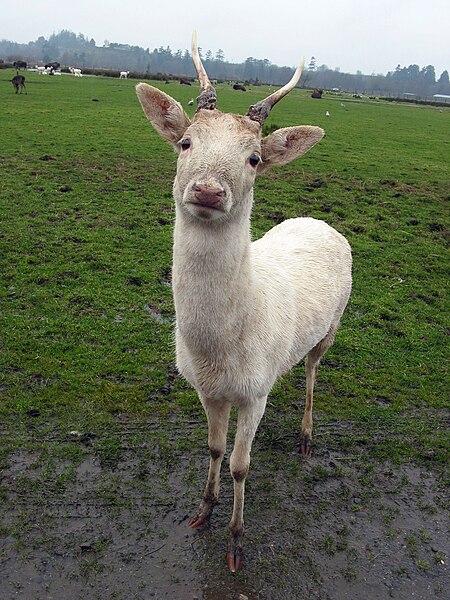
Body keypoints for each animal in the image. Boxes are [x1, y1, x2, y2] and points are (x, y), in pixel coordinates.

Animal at [135, 31, 354, 572]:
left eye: (254, 158)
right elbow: (215, 449)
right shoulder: (207, 389)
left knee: (313, 372)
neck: (221, 349)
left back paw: (305, 437)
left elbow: (240, 465)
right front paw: (202, 511)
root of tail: (319, 220)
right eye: (186, 141)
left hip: (333, 326)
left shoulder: (253, 394)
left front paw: (236, 541)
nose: (209, 190)